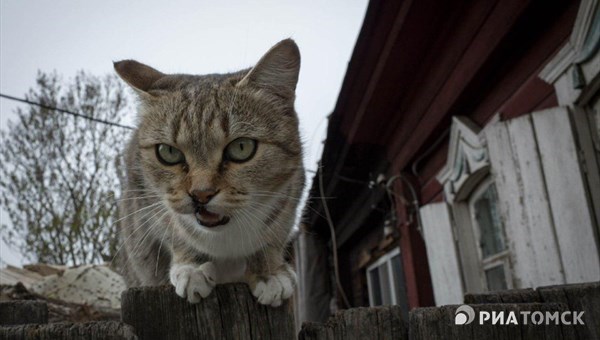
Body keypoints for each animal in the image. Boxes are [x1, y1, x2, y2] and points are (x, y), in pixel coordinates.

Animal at [113, 38, 304, 306]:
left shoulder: (292, 193)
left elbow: (274, 234)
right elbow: (175, 230)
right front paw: (193, 268)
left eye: (241, 147)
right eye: (168, 152)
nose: (200, 194)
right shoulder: (146, 198)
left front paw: (269, 272)